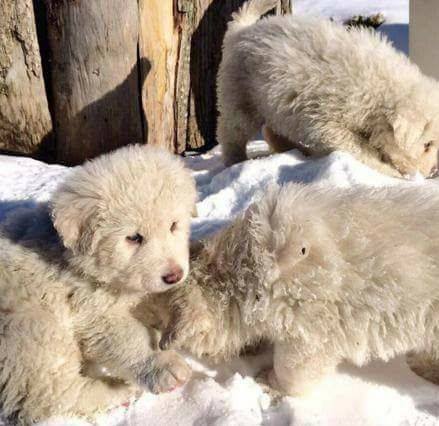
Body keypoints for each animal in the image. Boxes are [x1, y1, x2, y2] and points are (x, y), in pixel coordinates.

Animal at [0, 145, 197, 424]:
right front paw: (165, 366)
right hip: (30, 330)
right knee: (52, 395)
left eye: (173, 225)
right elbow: (130, 337)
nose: (174, 275)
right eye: (133, 237)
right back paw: (118, 391)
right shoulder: (91, 310)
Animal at [218, 0, 439, 178]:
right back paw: (236, 161)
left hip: (276, 103)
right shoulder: (327, 120)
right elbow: (359, 148)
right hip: (240, 96)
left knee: (272, 130)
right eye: (427, 145)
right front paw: (391, 172)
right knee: (233, 134)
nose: (433, 171)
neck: (380, 89)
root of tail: (241, 31)